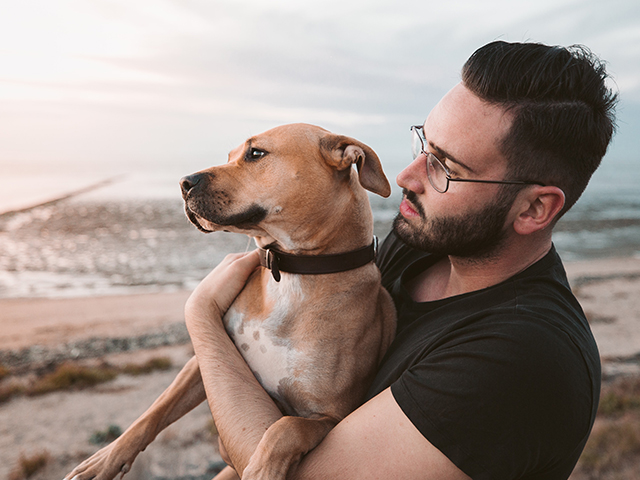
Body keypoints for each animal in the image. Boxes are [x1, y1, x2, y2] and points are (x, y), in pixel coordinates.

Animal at [63, 124, 396, 480]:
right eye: (230, 156)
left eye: (256, 153)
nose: (184, 182)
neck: (292, 273)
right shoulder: (208, 356)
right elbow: (157, 408)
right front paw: (106, 458)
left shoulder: (330, 417)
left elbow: (286, 428)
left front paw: (261, 469)